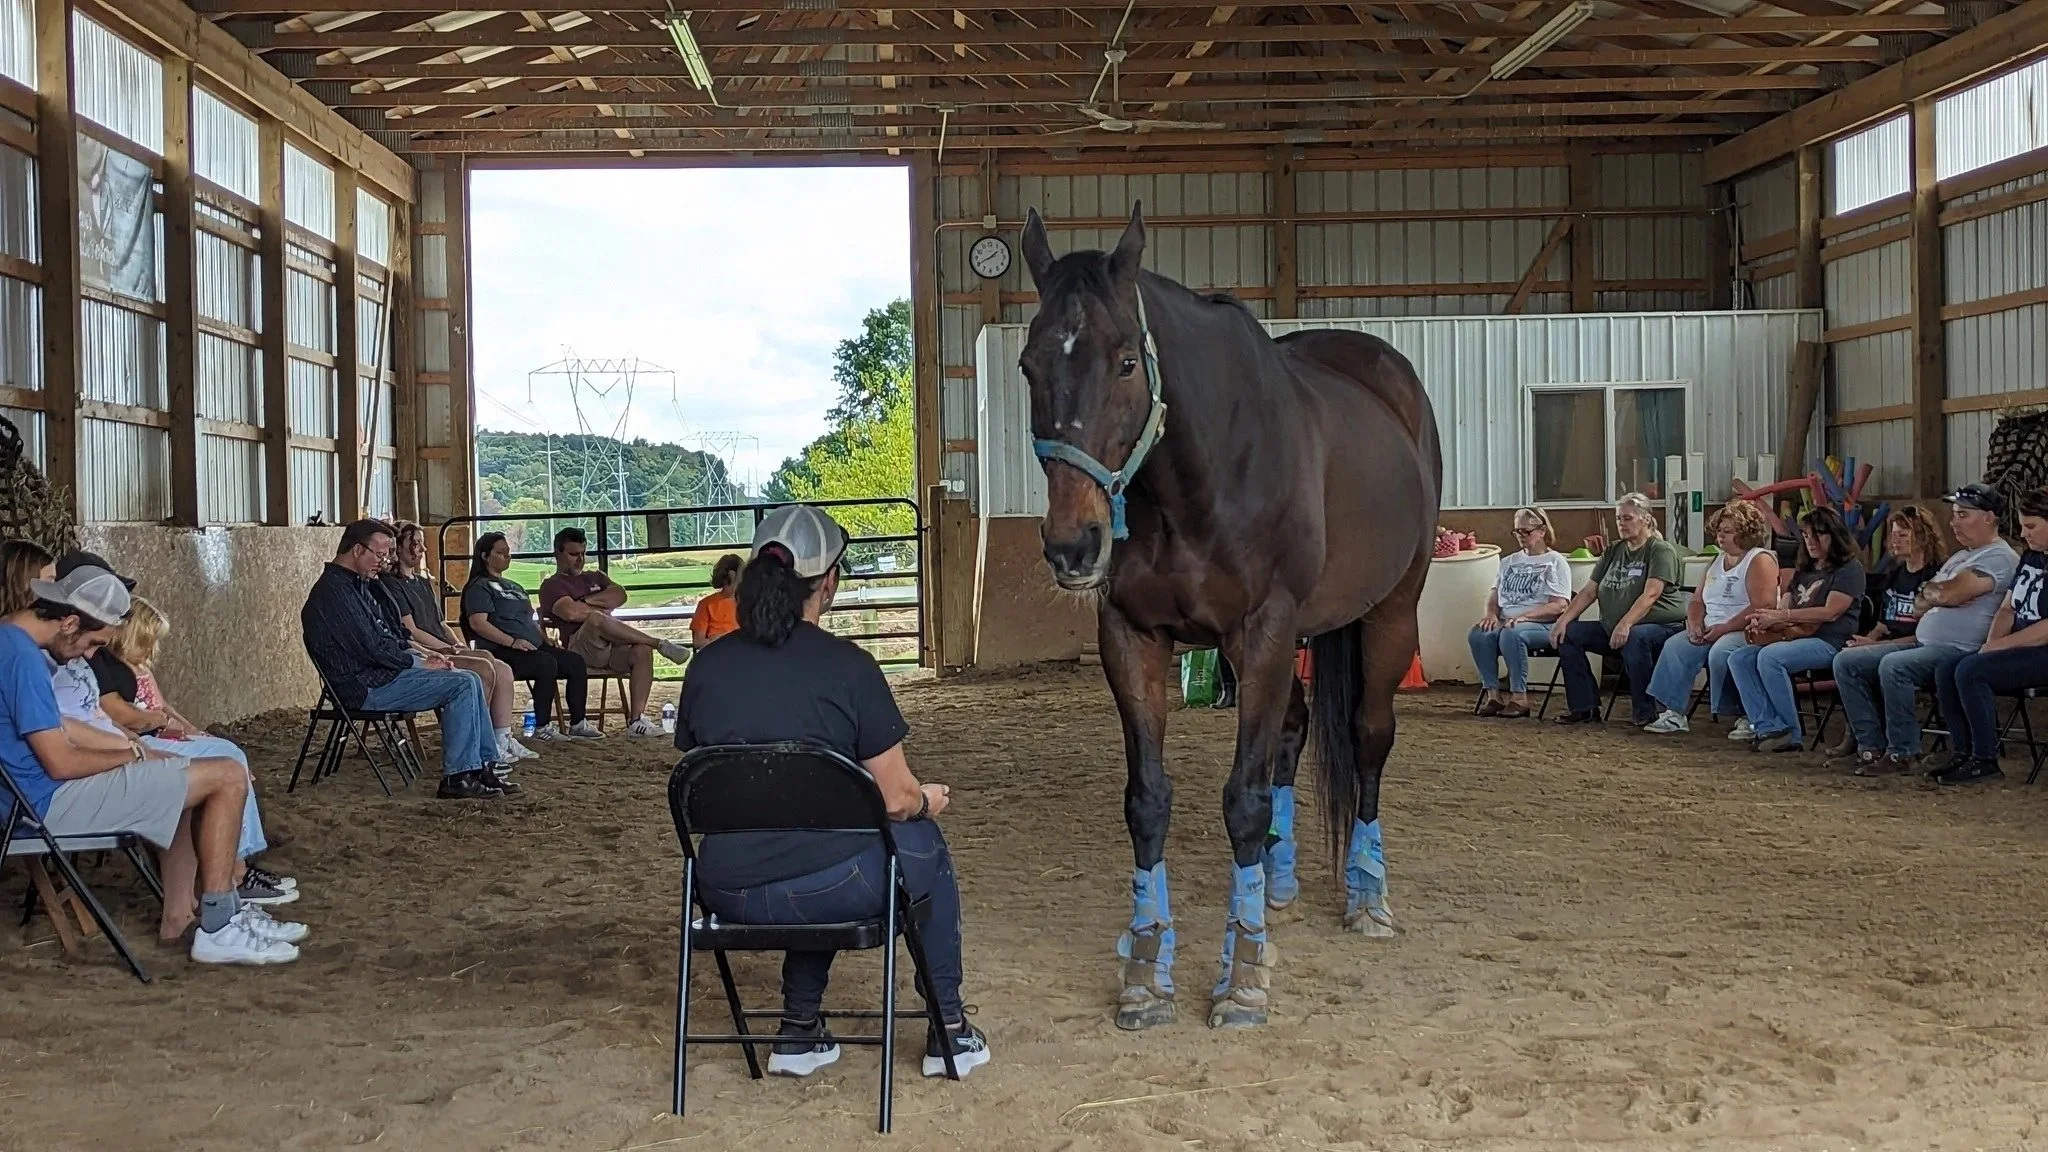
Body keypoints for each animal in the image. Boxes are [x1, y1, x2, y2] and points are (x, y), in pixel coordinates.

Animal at [1018, 204, 1442, 1029]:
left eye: (1126, 361)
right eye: (1027, 364)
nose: (1074, 544)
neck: (1198, 475)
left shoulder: (1268, 629)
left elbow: (1241, 802)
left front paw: (1242, 977)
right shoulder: (1133, 639)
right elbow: (1149, 802)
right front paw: (1147, 972)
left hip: (1390, 612)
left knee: (1368, 738)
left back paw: (1367, 896)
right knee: (1293, 731)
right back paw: (1276, 886)